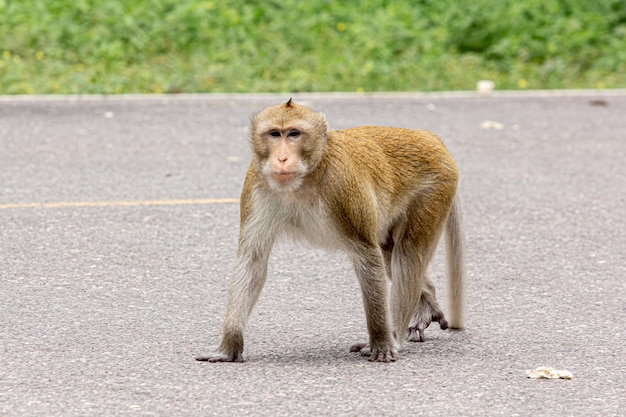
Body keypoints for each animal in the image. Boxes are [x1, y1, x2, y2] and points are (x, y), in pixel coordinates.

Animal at [195, 99, 464, 362]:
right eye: (274, 134)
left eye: (294, 134)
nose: (282, 158)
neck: (308, 175)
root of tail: (427, 136)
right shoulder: (256, 183)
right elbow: (252, 259)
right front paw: (229, 347)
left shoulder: (342, 187)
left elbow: (367, 255)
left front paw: (382, 342)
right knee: (390, 254)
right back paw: (427, 303)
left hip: (435, 188)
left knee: (407, 255)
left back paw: (395, 335)